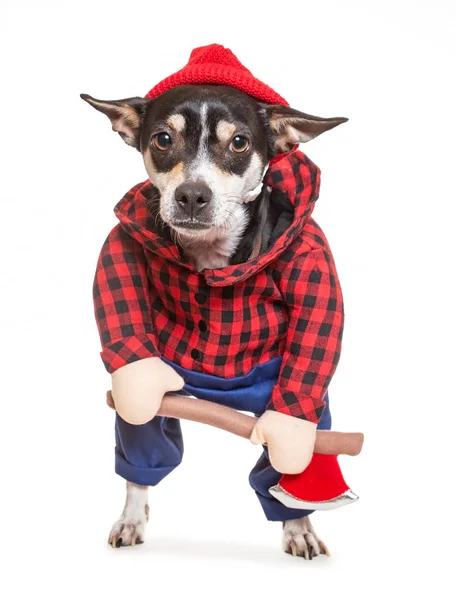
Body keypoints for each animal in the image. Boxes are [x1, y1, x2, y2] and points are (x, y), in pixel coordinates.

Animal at [82, 81, 346, 556]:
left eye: (239, 142)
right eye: (162, 139)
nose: (191, 194)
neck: (210, 250)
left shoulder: (309, 256)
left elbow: (317, 322)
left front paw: (298, 528)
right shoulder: (126, 241)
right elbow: (117, 281)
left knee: (293, 456)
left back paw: (297, 523)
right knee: (140, 440)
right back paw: (132, 516)